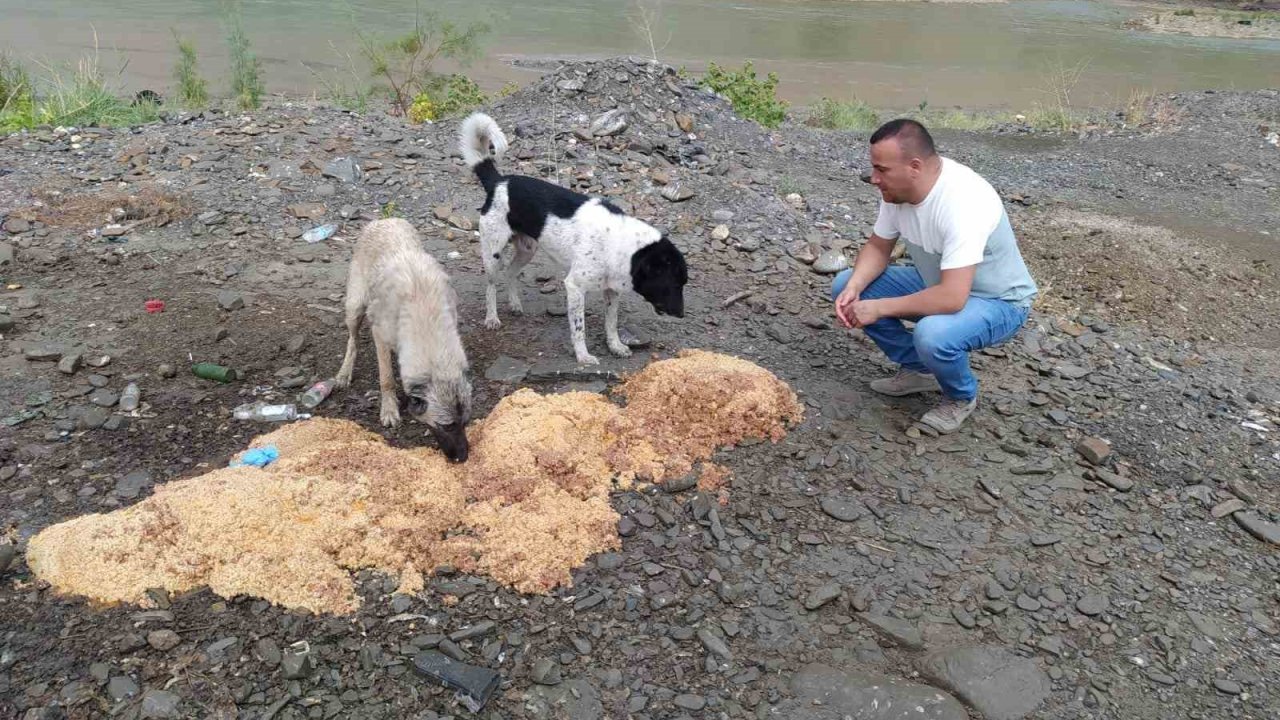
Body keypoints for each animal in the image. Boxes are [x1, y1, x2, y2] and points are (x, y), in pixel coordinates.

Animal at [455, 112, 686, 363]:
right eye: (674, 283)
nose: (682, 314)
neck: (623, 244)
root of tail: (498, 182)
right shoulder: (575, 286)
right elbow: (578, 328)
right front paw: (583, 356)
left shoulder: (611, 290)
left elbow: (611, 322)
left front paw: (615, 346)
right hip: (493, 252)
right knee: (491, 284)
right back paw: (492, 318)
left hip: (527, 250)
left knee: (510, 272)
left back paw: (515, 304)